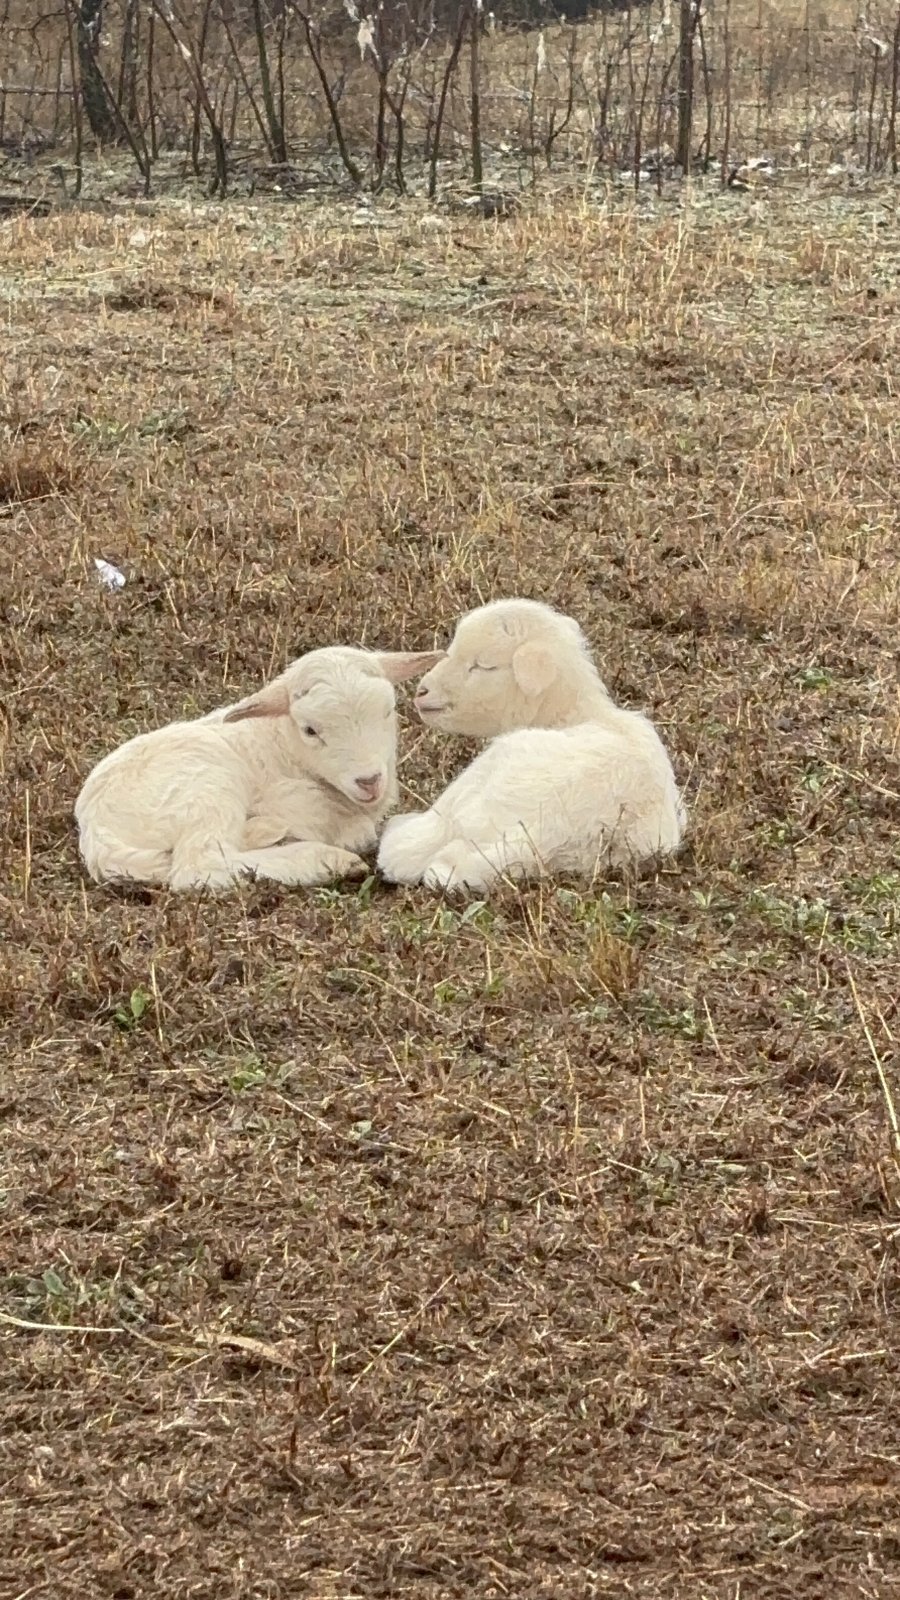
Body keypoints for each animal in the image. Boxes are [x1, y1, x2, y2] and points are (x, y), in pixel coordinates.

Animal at [76, 645, 442, 892]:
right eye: (310, 730)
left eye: (388, 710)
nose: (369, 781)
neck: (281, 743)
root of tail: (96, 835)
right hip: (207, 787)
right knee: (201, 866)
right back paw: (325, 860)